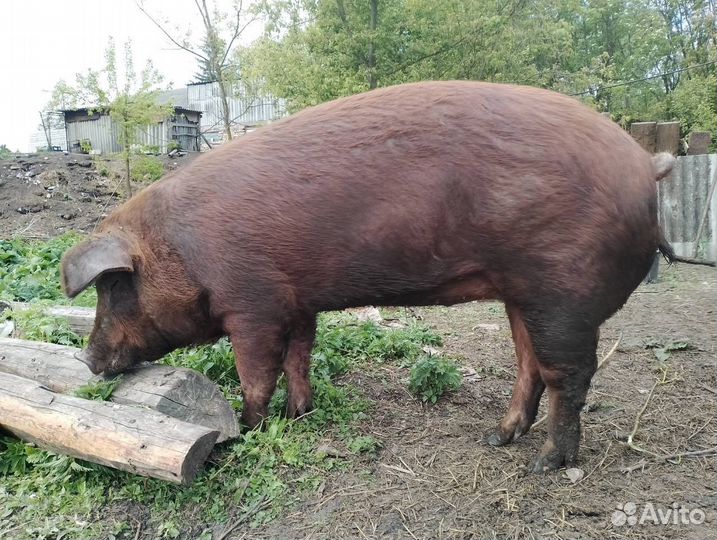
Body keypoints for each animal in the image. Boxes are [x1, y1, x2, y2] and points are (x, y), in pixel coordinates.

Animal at [61, 81, 675, 472]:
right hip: (521, 293)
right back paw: (495, 438)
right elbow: (299, 357)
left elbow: (256, 371)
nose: (86, 359)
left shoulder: (252, 303)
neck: (180, 247)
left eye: (114, 288)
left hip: (561, 291)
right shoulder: (296, 301)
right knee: (529, 365)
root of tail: (646, 167)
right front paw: (300, 414)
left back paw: (546, 465)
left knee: (567, 374)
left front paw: (250, 428)